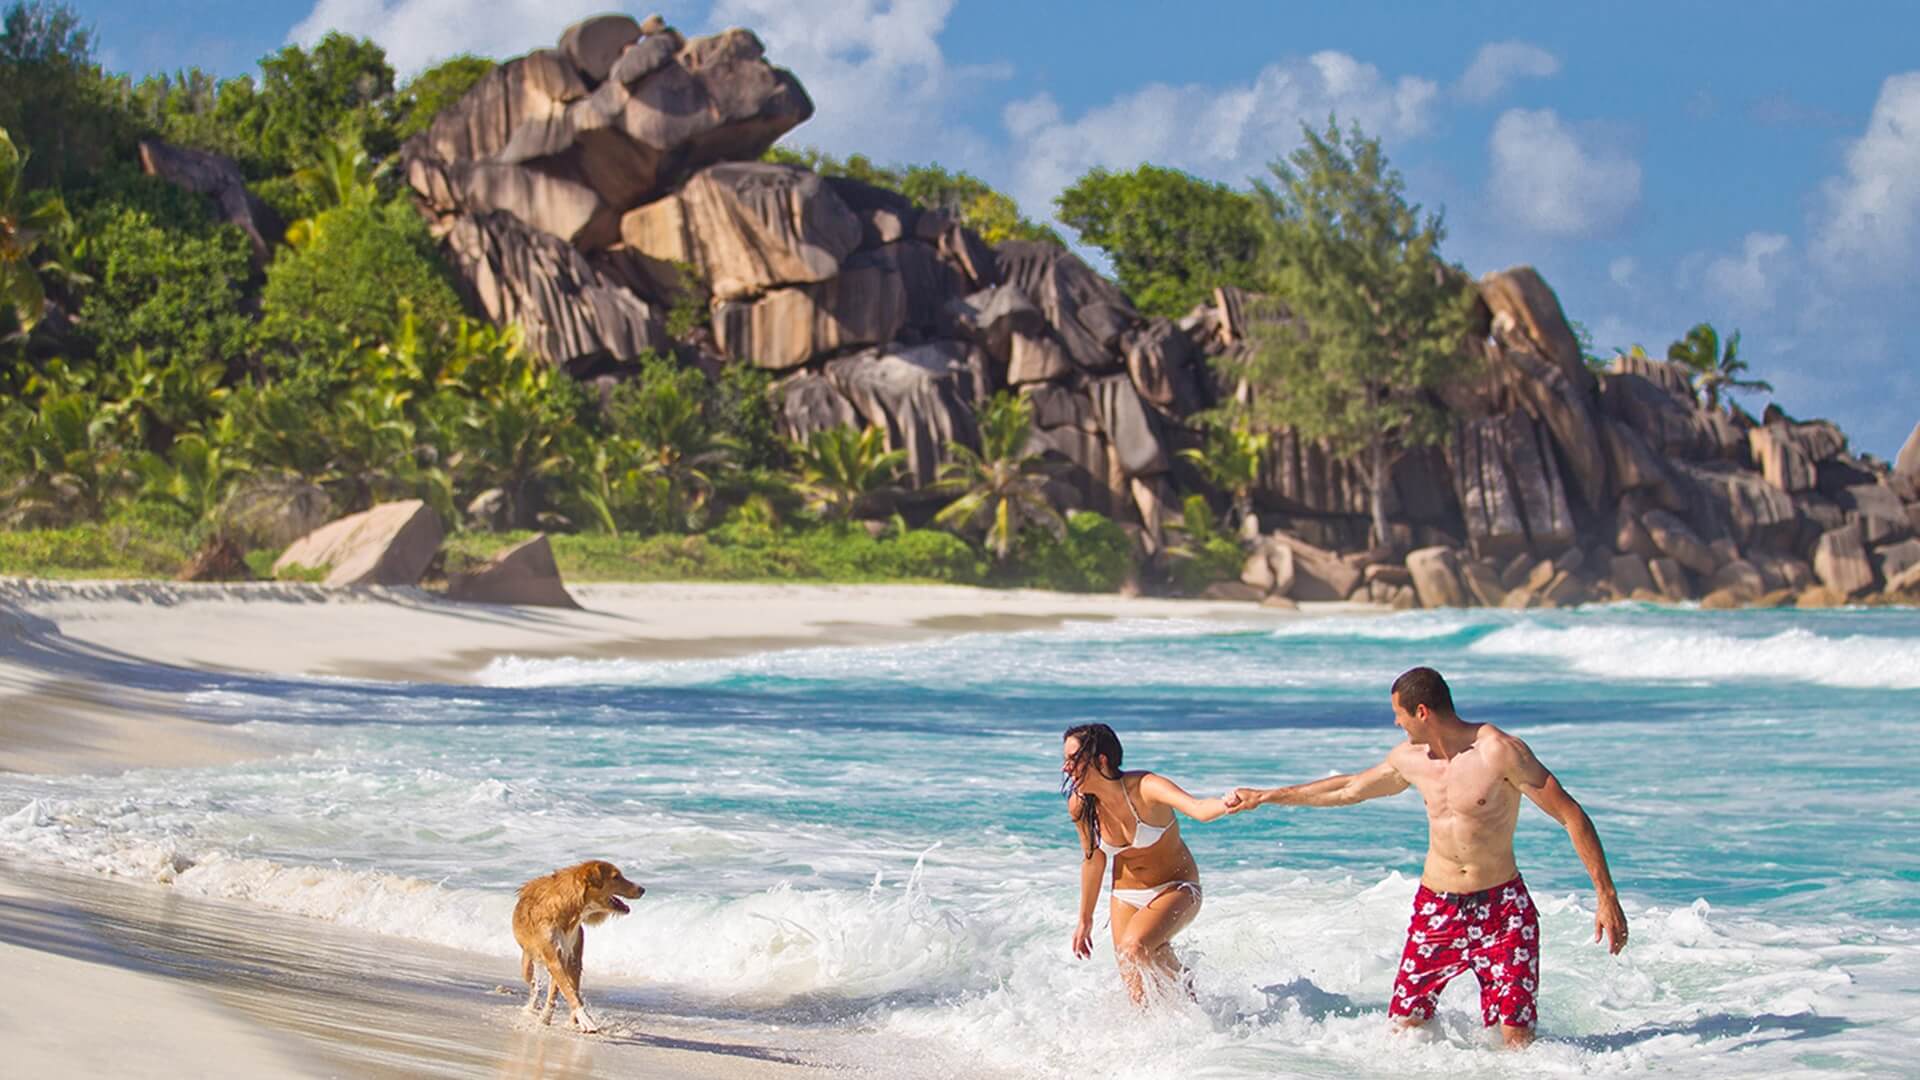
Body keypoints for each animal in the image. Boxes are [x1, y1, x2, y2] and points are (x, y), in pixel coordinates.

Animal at [510, 857, 645, 1022]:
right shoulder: (554, 958)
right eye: (616, 877)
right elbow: (566, 990)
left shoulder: (569, 956)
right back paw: (532, 1007)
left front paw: (571, 1018)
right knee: (534, 984)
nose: (642, 889)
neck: (568, 911)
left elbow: (564, 990)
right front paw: (583, 1019)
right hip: (528, 963)